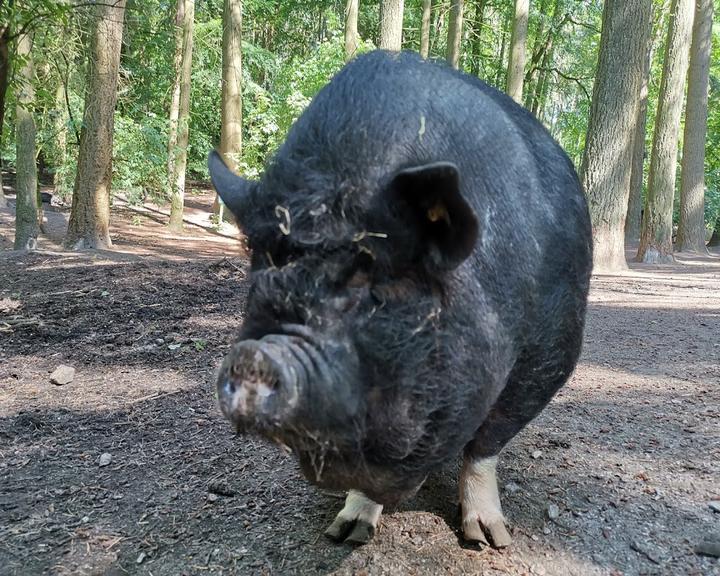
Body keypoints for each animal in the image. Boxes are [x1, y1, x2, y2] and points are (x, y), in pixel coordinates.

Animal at [208, 50, 592, 548]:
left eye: (371, 279)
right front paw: (346, 533)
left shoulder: (549, 356)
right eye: (263, 271)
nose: (256, 353)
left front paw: (488, 540)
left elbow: (486, 445)